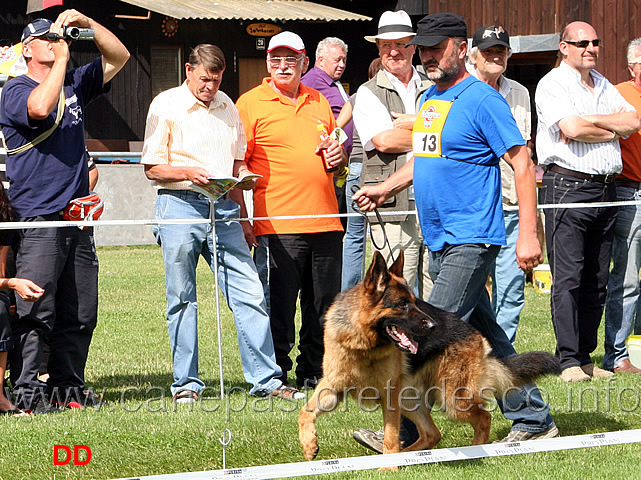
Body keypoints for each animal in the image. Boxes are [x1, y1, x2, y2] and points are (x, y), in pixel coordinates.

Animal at [298, 249, 556, 460]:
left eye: (414, 301)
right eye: (402, 304)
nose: (433, 325)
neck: (364, 344)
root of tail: (477, 335)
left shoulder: (389, 396)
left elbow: (391, 435)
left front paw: (388, 467)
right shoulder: (333, 386)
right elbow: (305, 412)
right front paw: (309, 445)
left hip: (452, 400)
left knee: (483, 418)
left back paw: (473, 451)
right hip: (411, 398)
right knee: (433, 433)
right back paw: (411, 455)